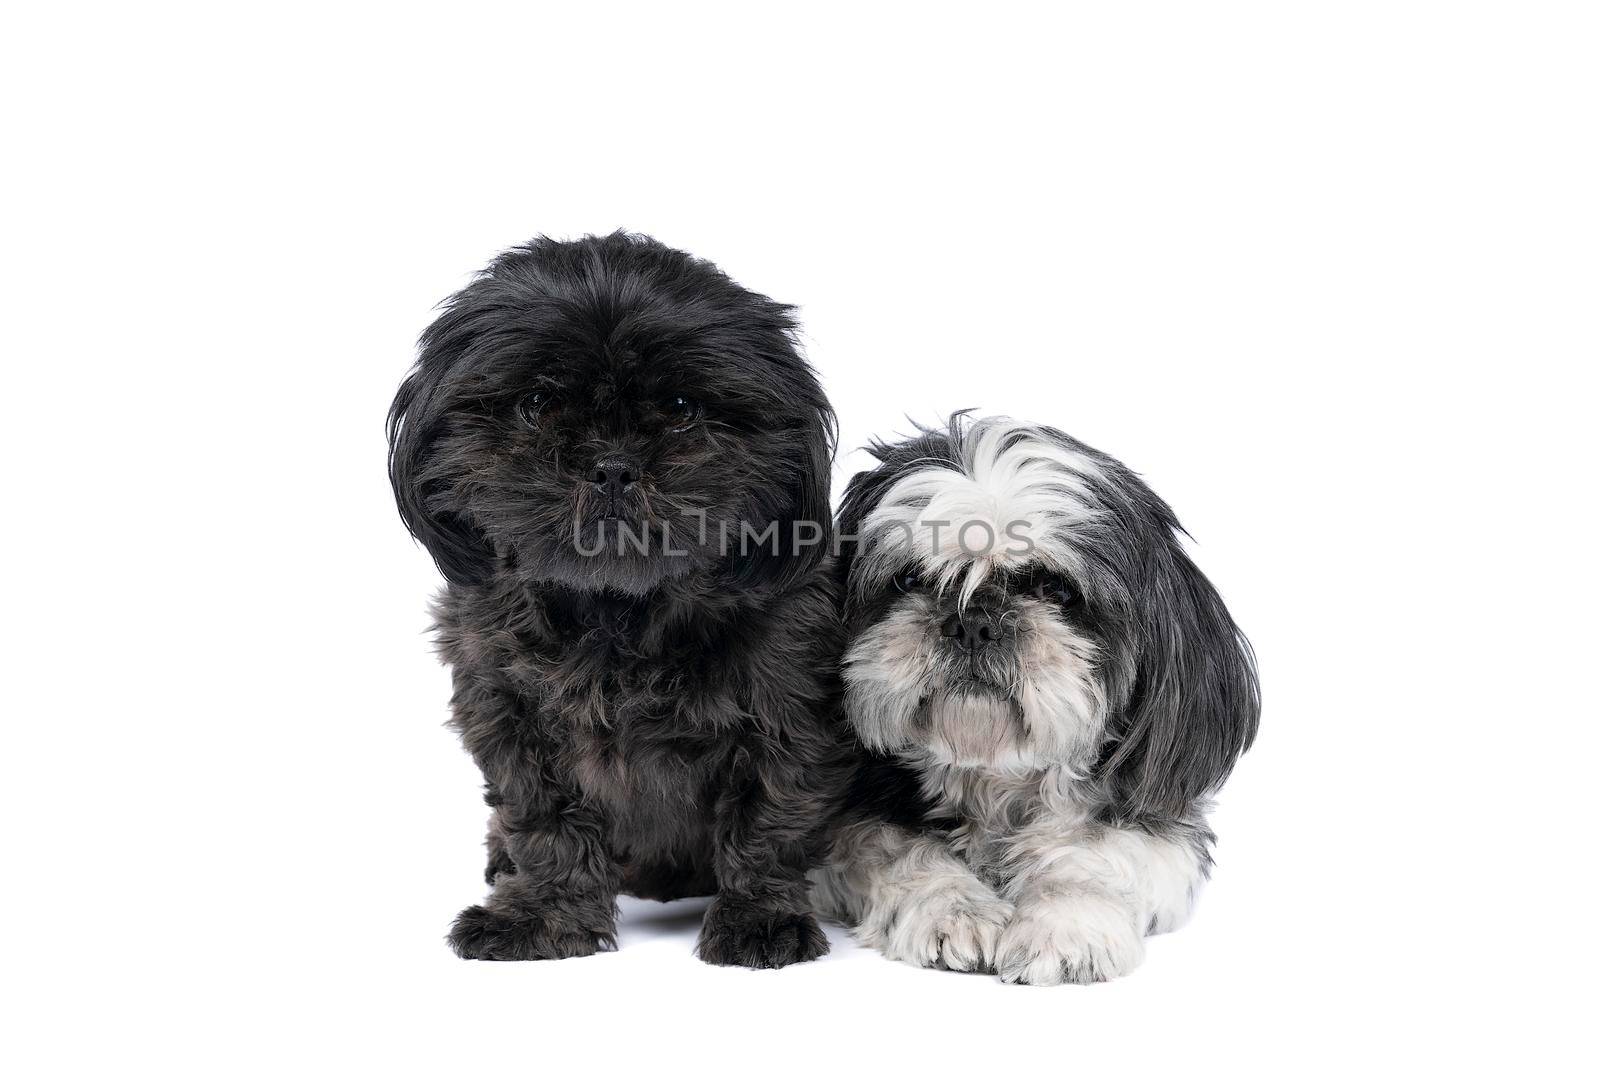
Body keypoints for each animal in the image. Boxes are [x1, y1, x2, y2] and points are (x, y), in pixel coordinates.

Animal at [388, 231, 851, 966]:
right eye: (538, 404)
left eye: (683, 410)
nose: (612, 465)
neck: (616, 610)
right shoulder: (508, 714)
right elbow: (546, 824)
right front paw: (543, 917)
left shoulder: (788, 712)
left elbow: (767, 821)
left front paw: (759, 917)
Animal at [812, 415, 1260, 985]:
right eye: (910, 579)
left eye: (1055, 589)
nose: (973, 622)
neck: (996, 777)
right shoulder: (852, 826)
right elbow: (900, 853)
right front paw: (954, 909)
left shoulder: (1157, 827)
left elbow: (1093, 858)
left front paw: (1063, 926)